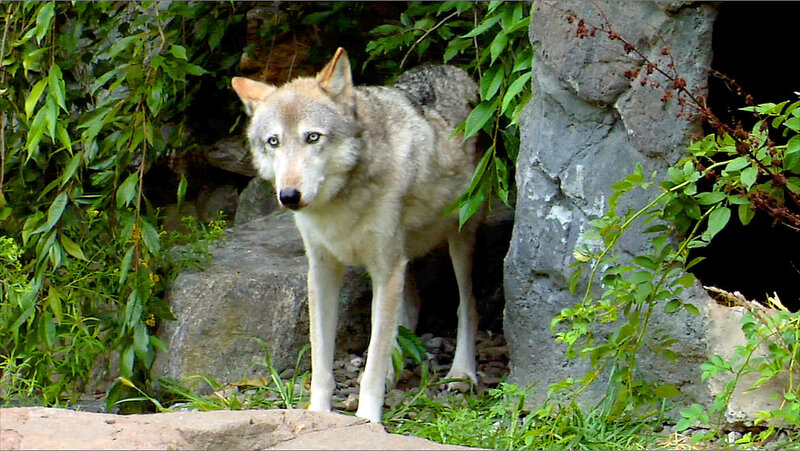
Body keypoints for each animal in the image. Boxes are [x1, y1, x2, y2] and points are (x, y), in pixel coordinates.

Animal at [231, 48, 480, 423]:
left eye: (313, 137)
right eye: (274, 142)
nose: (289, 196)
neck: (337, 205)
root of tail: (446, 66)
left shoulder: (387, 268)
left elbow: (373, 363)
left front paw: (367, 419)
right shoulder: (323, 271)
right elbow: (322, 358)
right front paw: (318, 414)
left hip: (459, 237)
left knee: (467, 304)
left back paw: (462, 372)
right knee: (407, 312)